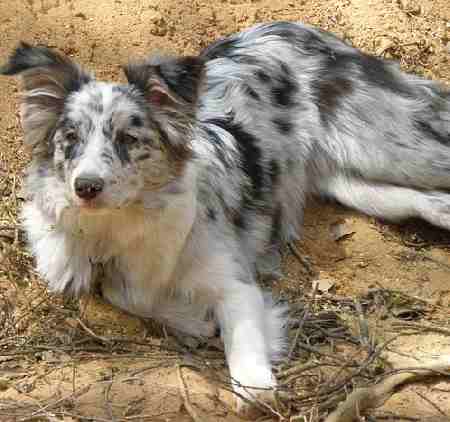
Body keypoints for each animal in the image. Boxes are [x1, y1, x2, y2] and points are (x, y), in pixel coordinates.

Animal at [0, 22, 450, 416]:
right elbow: (123, 293)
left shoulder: (236, 286)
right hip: (359, 185)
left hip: (396, 150)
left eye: (129, 139)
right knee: (427, 199)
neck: (123, 221)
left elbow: (243, 341)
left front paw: (253, 385)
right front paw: (191, 320)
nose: (86, 187)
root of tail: (298, 28)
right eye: (70, 139)